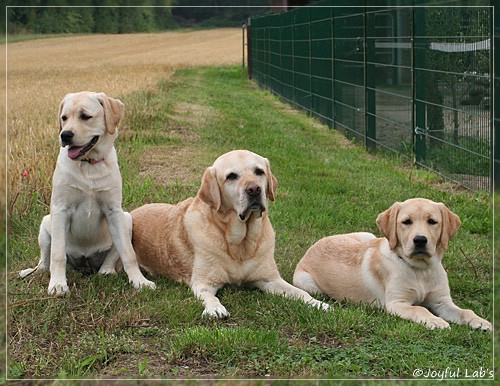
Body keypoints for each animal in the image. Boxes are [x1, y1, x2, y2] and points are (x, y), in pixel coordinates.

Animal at [20, 92, 154, 294]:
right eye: (64, 118)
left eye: (85, 116)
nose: (65, 135)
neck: (89, 164)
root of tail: (85, 262)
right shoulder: (60, 209)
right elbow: (57, 254)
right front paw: (57, 284)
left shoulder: (114, 211)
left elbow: (128, 254)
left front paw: (140, 281)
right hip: (46, 224)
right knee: (45, 259)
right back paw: (35, 271)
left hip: (127, 219)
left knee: (113, 256)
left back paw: (107, 270)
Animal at [131, 149, 330, 318]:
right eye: (231, 177)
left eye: (259, 172)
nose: (254, 189)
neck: (241, 243)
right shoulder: (204, 282)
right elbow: (210, 296)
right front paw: (215, 308)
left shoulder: (269, 279)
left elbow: (299, 292)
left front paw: (317, 303)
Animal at [292, 199, 492, 328]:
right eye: (406, 222)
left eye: (432, 221)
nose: (420, 240)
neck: (421, 270)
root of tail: (315, 244)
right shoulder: (396, 303)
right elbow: (420, 308)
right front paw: (435, 320)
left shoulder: (441, 301)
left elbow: (465, 311)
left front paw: (480, 321)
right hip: (308, 284)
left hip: (368, 235)